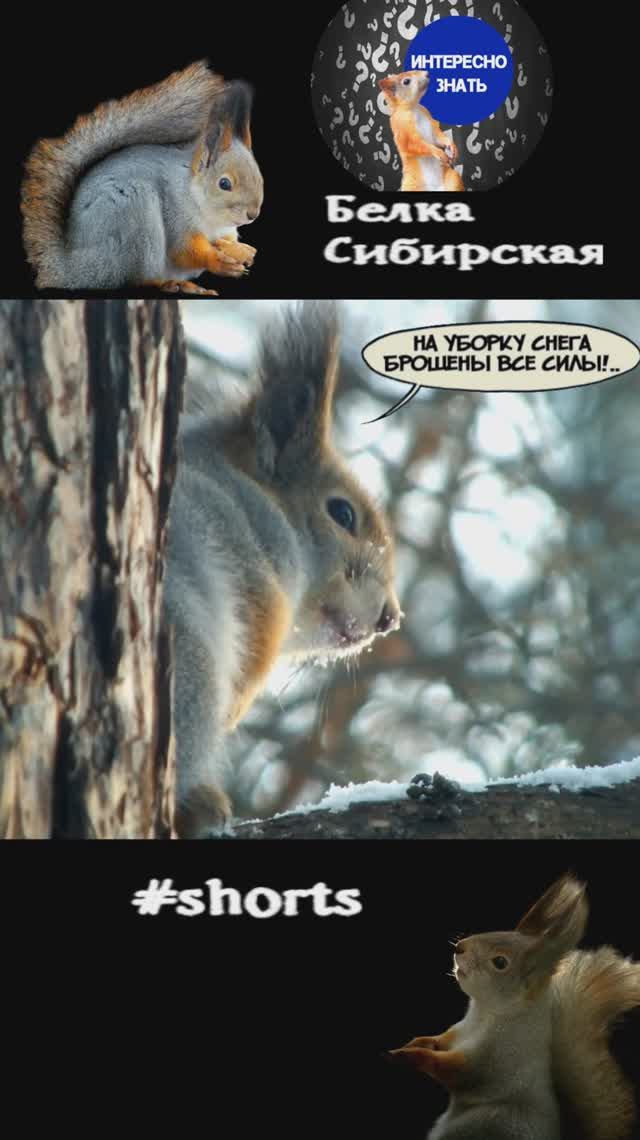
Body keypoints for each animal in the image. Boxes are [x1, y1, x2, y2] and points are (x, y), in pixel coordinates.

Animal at [20, 61, 263, 294]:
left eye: (260, 178)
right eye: (224, 183)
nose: (252, 215)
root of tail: (72, 268)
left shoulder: (224, 230)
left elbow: (226, 241)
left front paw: (241, 250)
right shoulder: (176, 215)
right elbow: (184, 250)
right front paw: (220, 262)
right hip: (135, 216)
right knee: (139, 279)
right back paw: (174, 284)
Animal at [390, 875, 640, 1140]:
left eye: (500, 962)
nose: (460, 947)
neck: (486, 1013)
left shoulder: (496, 1058)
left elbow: (457, 1072)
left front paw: (411, 1055)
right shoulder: (460, 1031)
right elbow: (441, 1040)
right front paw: (418, 1042)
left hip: (486, 1123)